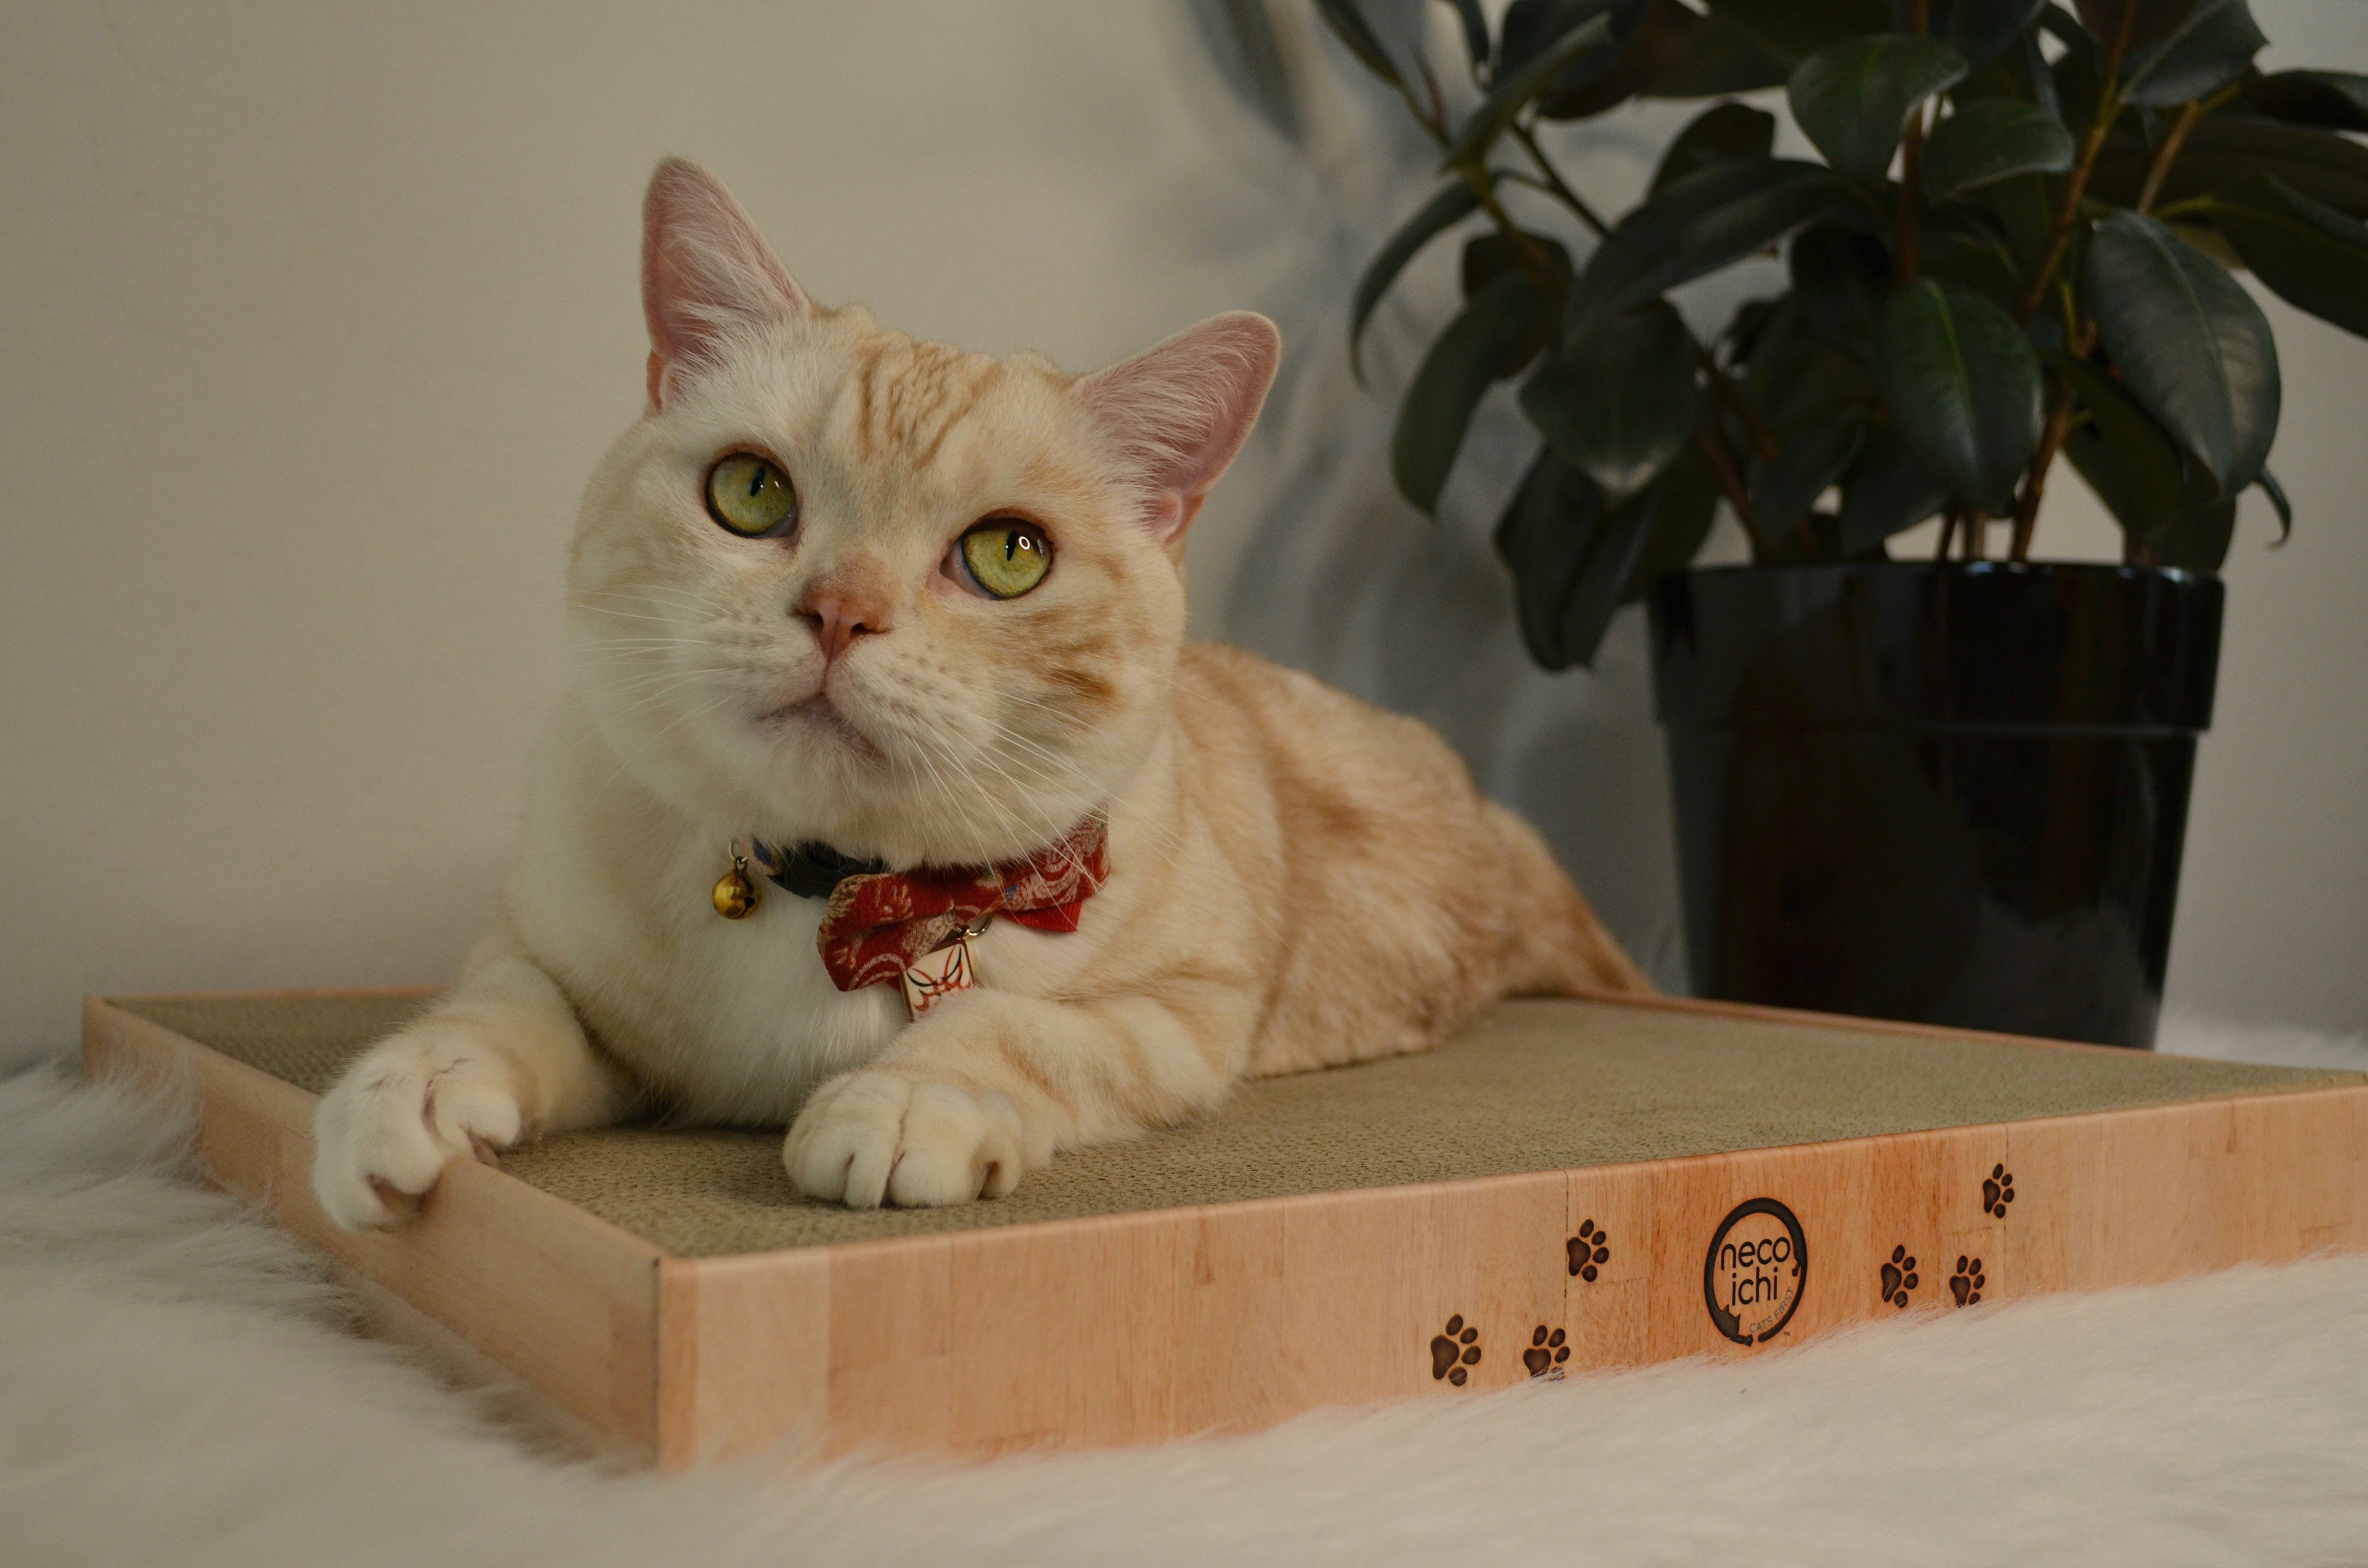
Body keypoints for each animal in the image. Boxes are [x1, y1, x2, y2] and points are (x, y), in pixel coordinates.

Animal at [315, 156, 1648, 1231]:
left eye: (1009, 556)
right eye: (750, 491)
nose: (841, 611)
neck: (829, 896)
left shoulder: (1185, 1014)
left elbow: (1007, 1026)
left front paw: (905, 1104)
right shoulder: (546, 954)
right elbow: (497, 1006)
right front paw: (405, 1085)